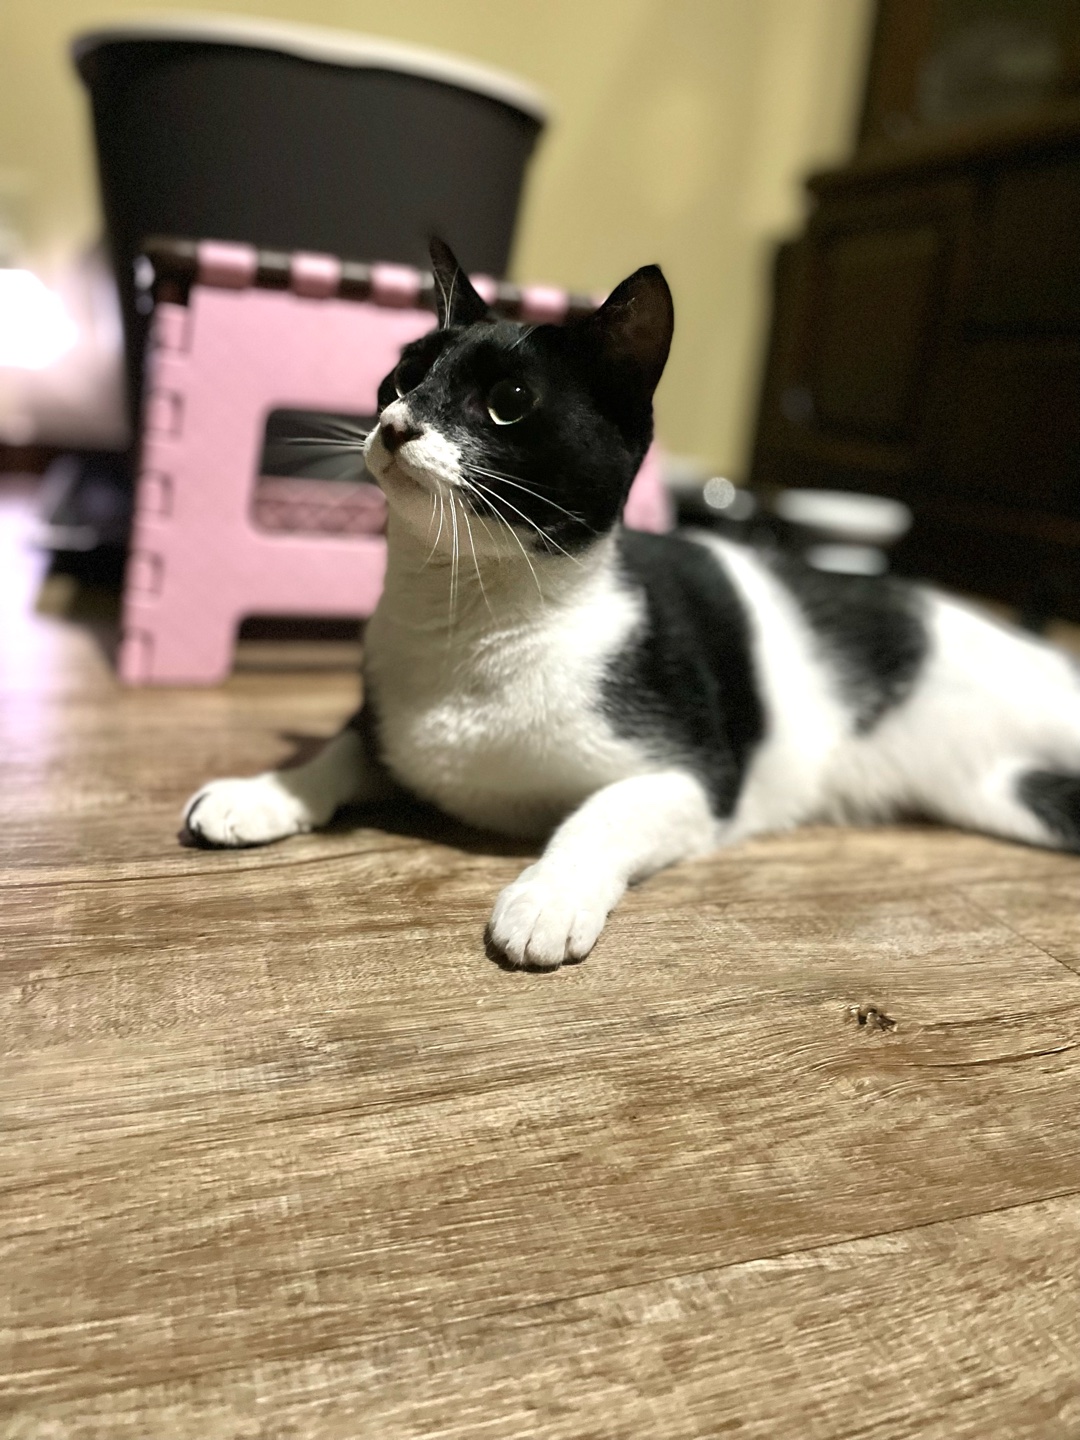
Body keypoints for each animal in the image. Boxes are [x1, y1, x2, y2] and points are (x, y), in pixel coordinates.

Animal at [183, 237, 1080, 970]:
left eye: (508, 402)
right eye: (404, 376)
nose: (397, 423)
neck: (476, 610)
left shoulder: (694, 777)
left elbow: (600, 815)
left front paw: (548, 896)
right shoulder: (394, 719)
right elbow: (345, 744)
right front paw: (264, 791)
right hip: (1010, 795)